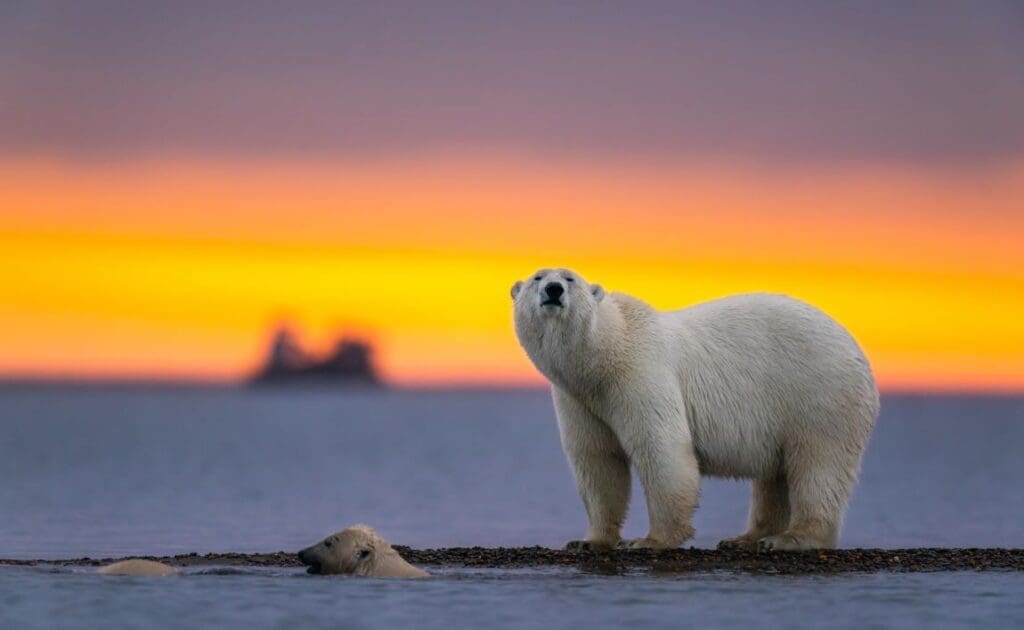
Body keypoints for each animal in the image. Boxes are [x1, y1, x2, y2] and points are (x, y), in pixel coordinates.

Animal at [512, 268, 879, 551]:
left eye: (569, 278)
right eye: (537, 277)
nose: (553, 290)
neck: (604, 355)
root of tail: (858, 352)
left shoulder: (641, 373)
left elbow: (662, 450)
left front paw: (649, 541)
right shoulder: (579, 400)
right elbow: (598, 461)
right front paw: (589, 541)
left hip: (820, 394)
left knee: (819, 464)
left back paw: (791, 538)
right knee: (775, 476)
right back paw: (746, 538)